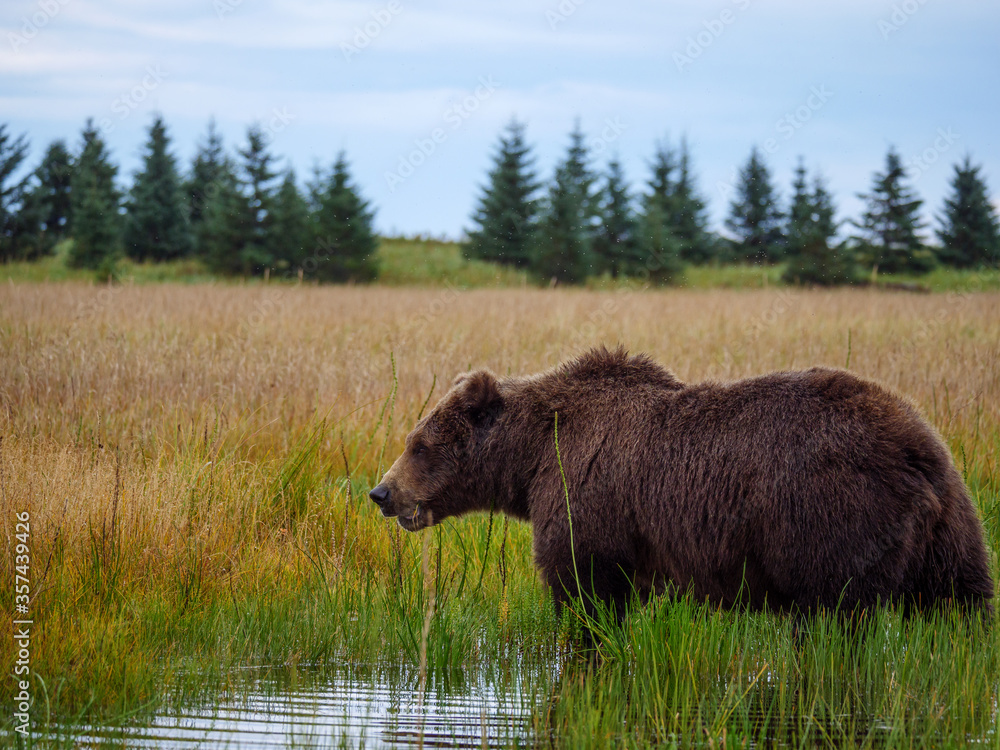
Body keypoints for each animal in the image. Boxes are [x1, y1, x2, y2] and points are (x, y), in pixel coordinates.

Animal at [372, 350, 996, 620]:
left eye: (418, 444)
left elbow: (583, 588)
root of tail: (917, 453)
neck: (531, 461)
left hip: (828, 515)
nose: (381, 493)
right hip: (953, 528)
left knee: (835, 611)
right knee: (960, 606)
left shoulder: (589, 498)